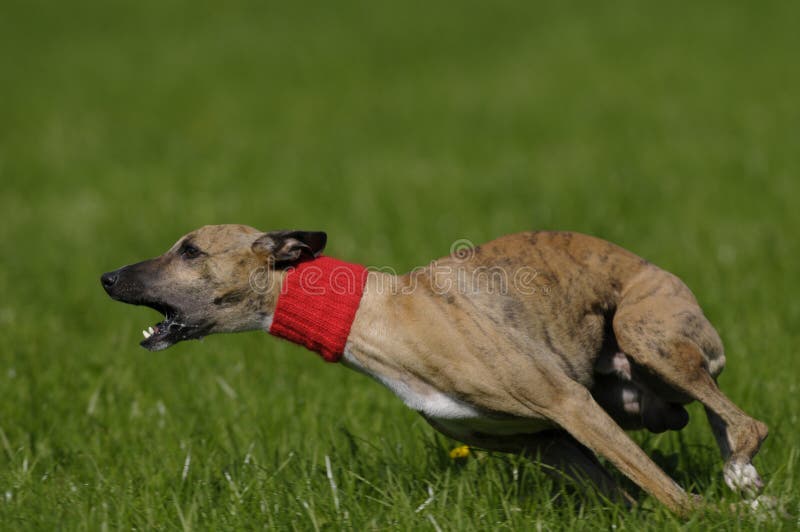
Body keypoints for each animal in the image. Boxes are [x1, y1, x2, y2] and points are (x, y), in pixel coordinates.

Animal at [101, 225, 768, 516]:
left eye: (190, 250)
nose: (107, 277)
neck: (381, 315)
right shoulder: (548, 441)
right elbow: (630, 495)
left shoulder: (569, 404)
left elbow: (672, 497)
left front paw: (715, 517)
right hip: (635, 396)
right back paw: (743, 477)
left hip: (644, 331)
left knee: (746, 424)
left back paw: (742, 480)